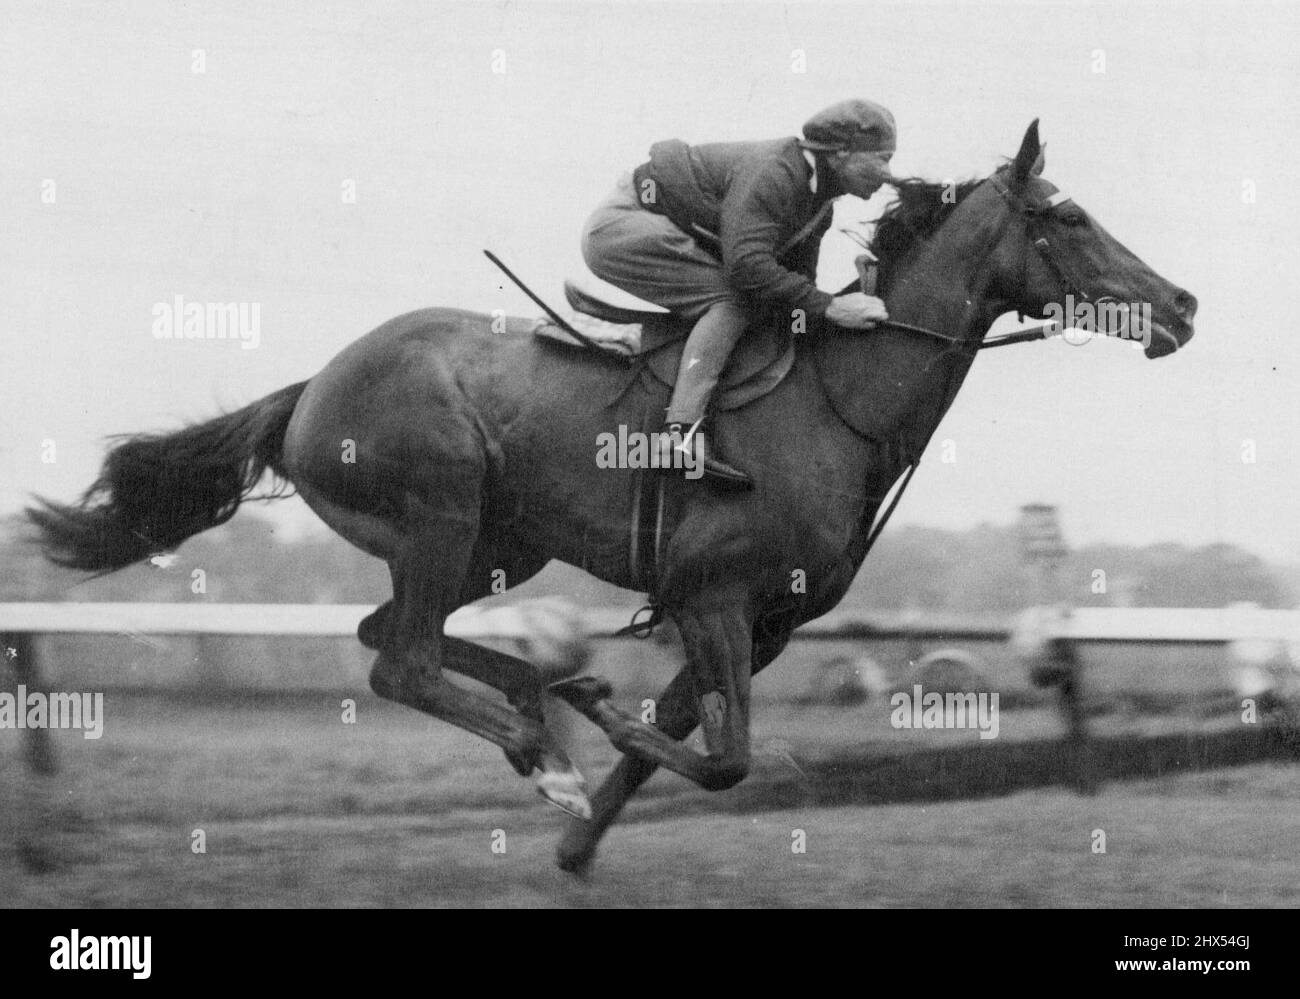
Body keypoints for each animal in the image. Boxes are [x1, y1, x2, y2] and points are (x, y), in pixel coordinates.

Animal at [27, 122, 1196, 874]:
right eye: (1069, 215)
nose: (1182, 305)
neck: (839, 400)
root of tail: (311, 387)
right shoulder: (713, 597)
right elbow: (727, 761)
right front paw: (597, 748)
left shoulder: (758, 620)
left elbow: (681, 748)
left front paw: (580, 833)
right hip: (442, 514)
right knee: (400, 659)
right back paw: (545, 748)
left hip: (494, 542)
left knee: (391, 636)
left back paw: (544, 717)